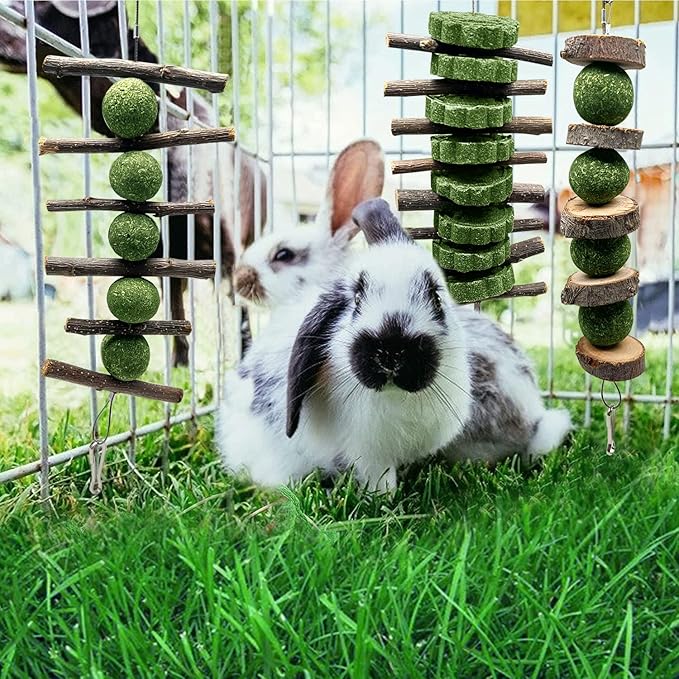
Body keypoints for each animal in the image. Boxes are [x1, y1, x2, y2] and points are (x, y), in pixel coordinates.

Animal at [218, 199, 571, 492]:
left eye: (436, 297)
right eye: (356, 299)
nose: (391, 351)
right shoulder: (368, 454)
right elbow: (380, 482)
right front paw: (384, 504)